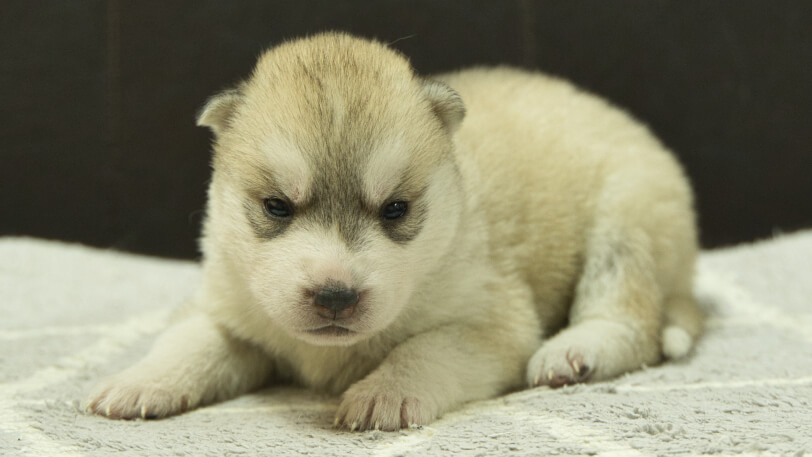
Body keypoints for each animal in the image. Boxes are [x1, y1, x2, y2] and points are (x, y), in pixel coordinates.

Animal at [84, 33, 704, 430]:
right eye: (277, 206)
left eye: (396, 209)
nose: (335, 296)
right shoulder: (225, 307)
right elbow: (191, 340)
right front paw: (140, 381)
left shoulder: (493, 321)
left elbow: (425, 349)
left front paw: (386, 393)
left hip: (628, 221)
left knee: (632, 321)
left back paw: (575, 351)